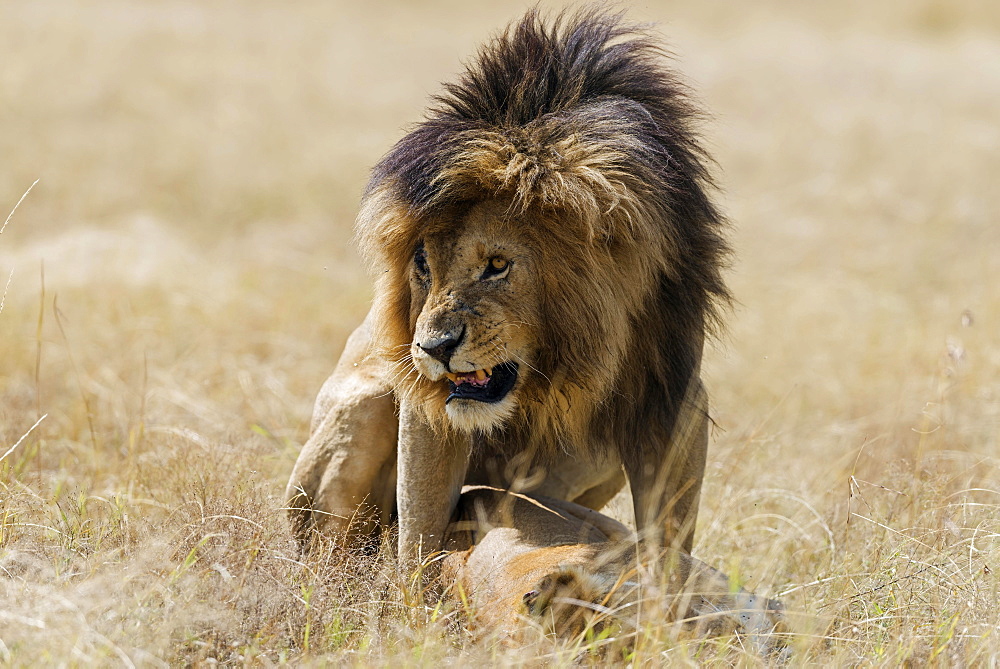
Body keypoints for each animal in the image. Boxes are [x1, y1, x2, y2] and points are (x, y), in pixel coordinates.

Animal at [286, 10, 732, 564]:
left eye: (497, 265)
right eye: (423, 266)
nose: (434, 348)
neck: (561, 361)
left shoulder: (672, 396)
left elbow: (669, 542)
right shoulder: (427, 405)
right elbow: (419, 533)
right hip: (362, 408)